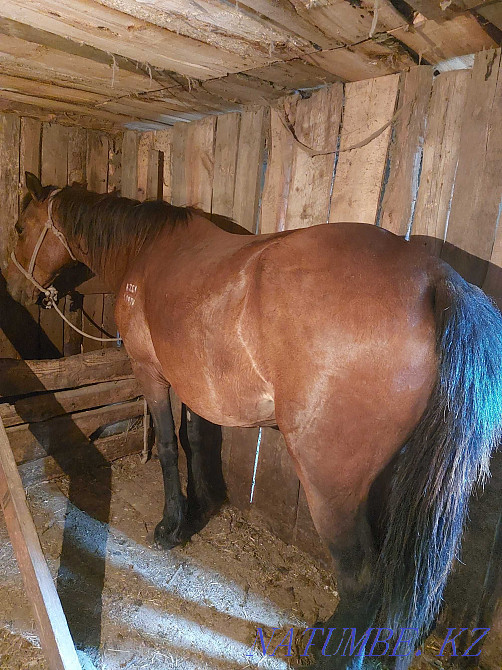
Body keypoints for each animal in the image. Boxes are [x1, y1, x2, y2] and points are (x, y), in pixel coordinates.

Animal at [5, 172, 502, 669]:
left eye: (19, 228)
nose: (16, 291)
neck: (146, 252)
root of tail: (436, 278)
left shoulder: (152, 374)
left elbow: (167, 447)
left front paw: (171, 526)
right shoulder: (196, 387)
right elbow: (195, 443)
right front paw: (201, 507)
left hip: (331, 489)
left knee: (362, 580)